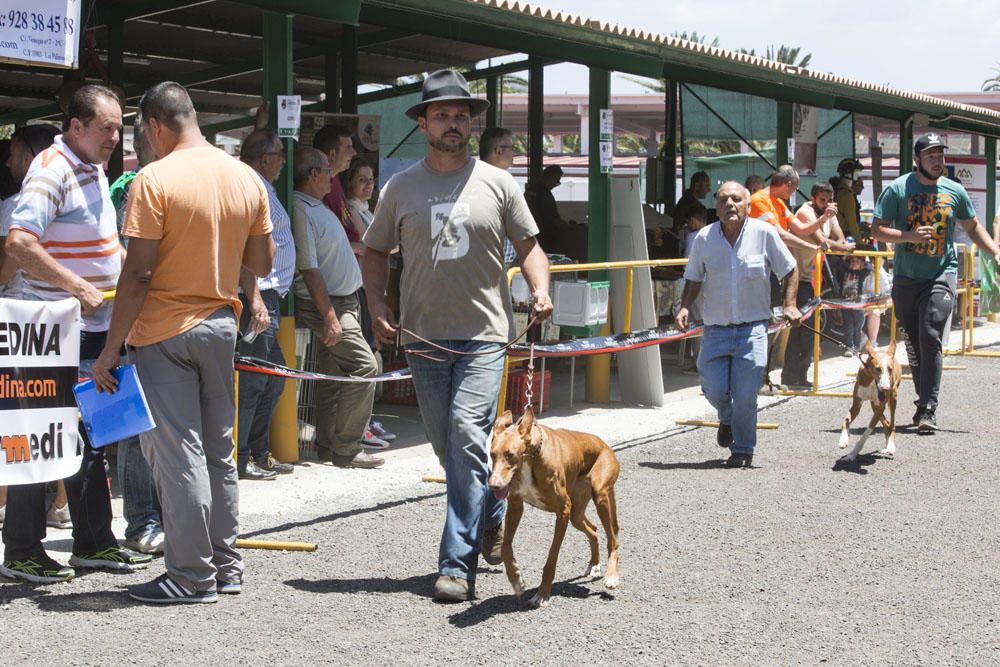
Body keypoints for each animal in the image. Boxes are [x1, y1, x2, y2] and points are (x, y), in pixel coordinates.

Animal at [486, 404, 616, 608]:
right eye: (492, 455)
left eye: (510, 455)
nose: (494, 485)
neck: (531, 457)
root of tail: (604, 445)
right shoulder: (515, 506)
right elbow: (506, 547)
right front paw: (516, 580)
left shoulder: (562, 511)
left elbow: (551, 557)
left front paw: (542, 594)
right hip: (577, 513)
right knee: (594, 530)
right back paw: (594, 564)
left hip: (601, 496)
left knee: (613, 538)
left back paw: (612, 576)